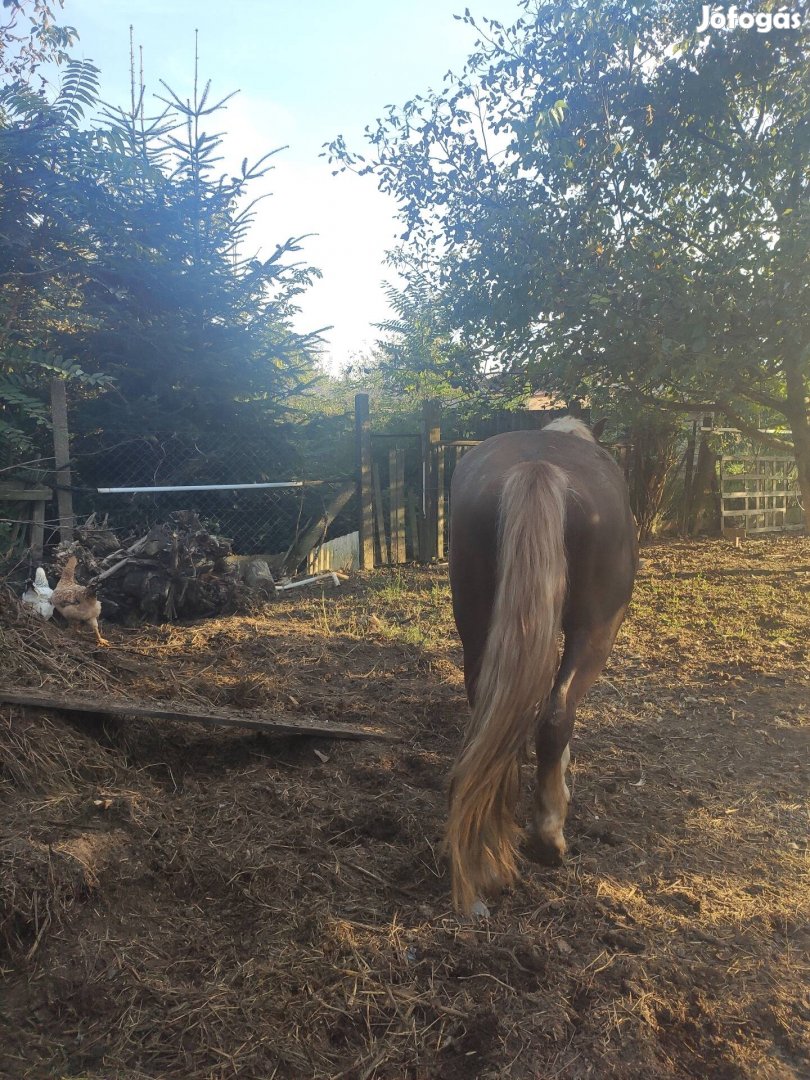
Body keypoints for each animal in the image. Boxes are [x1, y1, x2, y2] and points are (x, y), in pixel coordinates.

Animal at [447, 416, 639, 915]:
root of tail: (537, 468)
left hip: (477, 625)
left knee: (492, 713)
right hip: (596, 632)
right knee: (557, 714)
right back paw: (549, 836)